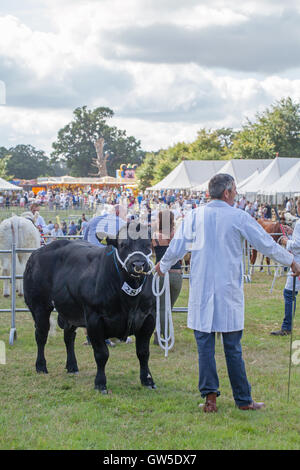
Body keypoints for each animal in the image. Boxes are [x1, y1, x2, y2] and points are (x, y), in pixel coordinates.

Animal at [23, 222, 156, 392]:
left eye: (148, 244)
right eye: (123, 245)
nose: (138, 264)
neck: (129, 299)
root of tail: (38, 251)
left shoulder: (148, 318)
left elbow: (143, 352)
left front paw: (148, 380)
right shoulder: (94, 319)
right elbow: (101, 354)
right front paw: (100, 383)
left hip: (71, 311)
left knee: (68, 337)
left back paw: (72, 366)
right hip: (39, 306)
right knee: (41, 335)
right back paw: (41, 366)